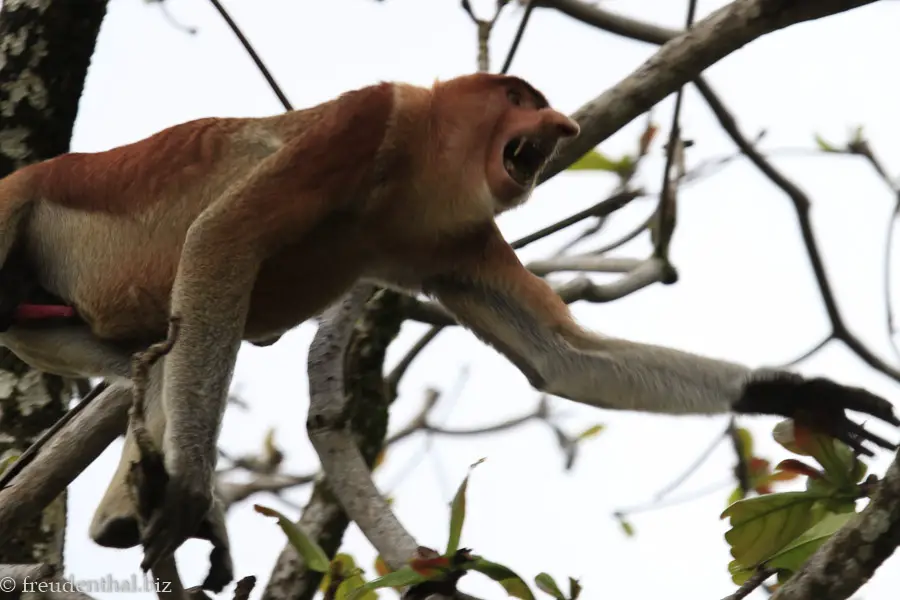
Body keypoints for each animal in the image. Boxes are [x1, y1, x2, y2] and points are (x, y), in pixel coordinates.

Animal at [0, 71, 896, 592]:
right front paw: (191, 497)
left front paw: (802, 394)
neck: (410, 168)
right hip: (16, 208)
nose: (565, 127)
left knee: (143, 361)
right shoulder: (365, 118)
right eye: (521, 96)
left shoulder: (452, 240)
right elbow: (220, 241)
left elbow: (559, 359)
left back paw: (126, 504)